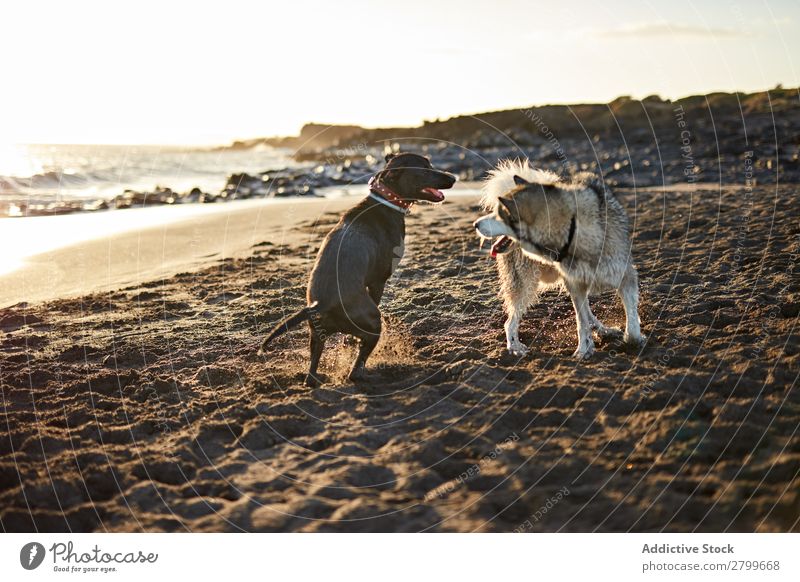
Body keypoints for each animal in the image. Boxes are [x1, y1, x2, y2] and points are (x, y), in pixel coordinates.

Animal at [262, 154, 456, 388]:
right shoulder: (377, 281)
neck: (385, 201)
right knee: (356, 368)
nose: (453, 178)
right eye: (425, 169)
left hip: (316, 336)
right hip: (373, 321)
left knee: (313, 369)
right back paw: (366, 373)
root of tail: (321, 303)